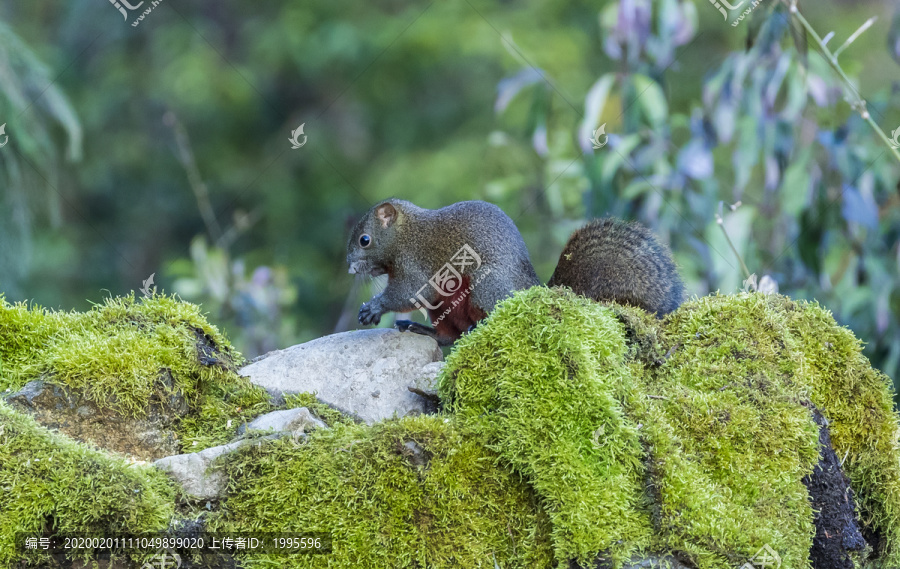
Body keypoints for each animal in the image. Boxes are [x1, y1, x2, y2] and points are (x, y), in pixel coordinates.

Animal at [348, 197, 684, 344]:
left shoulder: (416, 264)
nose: (350, 267)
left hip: (485, 286)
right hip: (444, 309)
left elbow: (410, 291)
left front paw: (373, 307)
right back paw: (422, 329)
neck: (404, 235)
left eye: (365, 240)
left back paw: (479, 326)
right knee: (447, 337)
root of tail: (530, 288)